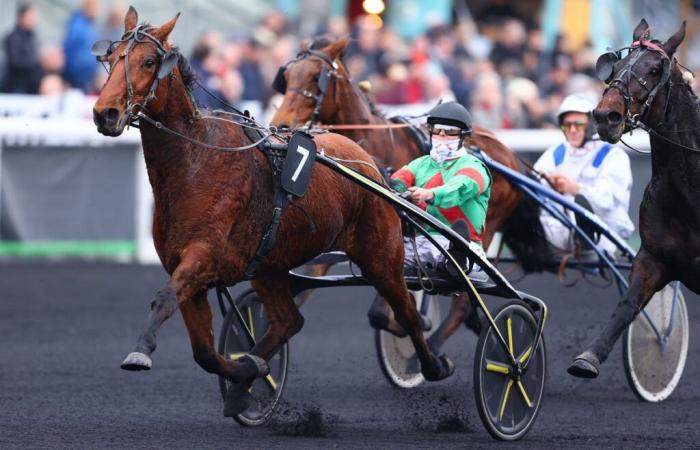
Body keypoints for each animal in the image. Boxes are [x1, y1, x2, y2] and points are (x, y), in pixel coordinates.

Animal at [91, 7, 454, 416]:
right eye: (110, 58)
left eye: (149, 61)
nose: (105, 113)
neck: (195, 161)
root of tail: (366, 160)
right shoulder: (188, 269)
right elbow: (205, 352)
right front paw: (251, 369)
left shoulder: (202, 257)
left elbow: (165, 299)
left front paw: (140, 351)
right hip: (270, 265)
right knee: (287, 321)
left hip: (380, 255)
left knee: (406, 309)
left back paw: (433, 363)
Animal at [270, 37, 532, 350]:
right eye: (286, 76)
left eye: (315, 77)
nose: (282, 124)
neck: (370, 143)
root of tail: (509, 154)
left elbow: (383, 311)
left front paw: (420, 325)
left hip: (487, 229)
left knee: (463, 298)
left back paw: (438, 346)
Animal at [568, 20, 700, 380]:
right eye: (614, 68)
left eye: (655, 70)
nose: (606, 116)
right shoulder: (654, 256)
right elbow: (627, 303)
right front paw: (589, 356)